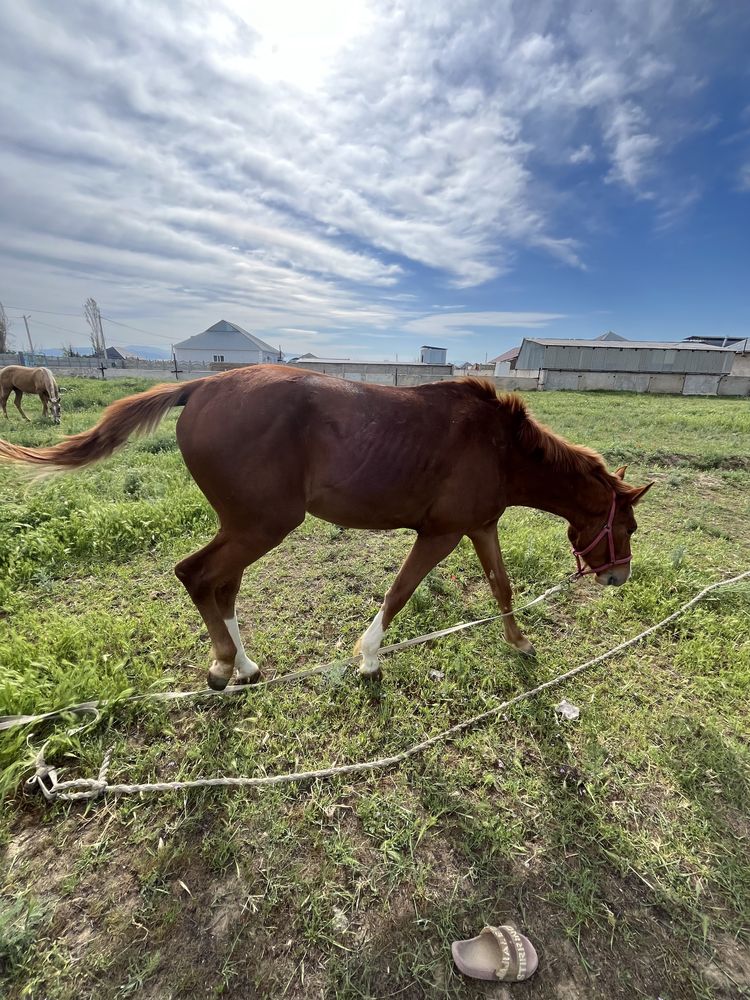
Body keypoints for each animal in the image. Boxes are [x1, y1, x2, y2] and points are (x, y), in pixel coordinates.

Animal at [0, 368, 652, 688]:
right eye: (630, 526)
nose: (619, 578)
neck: (499, 446)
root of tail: (201, 385)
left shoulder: (479, 527)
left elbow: (501, 586)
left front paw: (518, 642)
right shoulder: (440, 534)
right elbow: (400, 592)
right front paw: (369, 658)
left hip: (245, 525)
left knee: (222, 586)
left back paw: (243, 665)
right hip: (262, 524)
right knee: (198, 576)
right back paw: (222, 665)